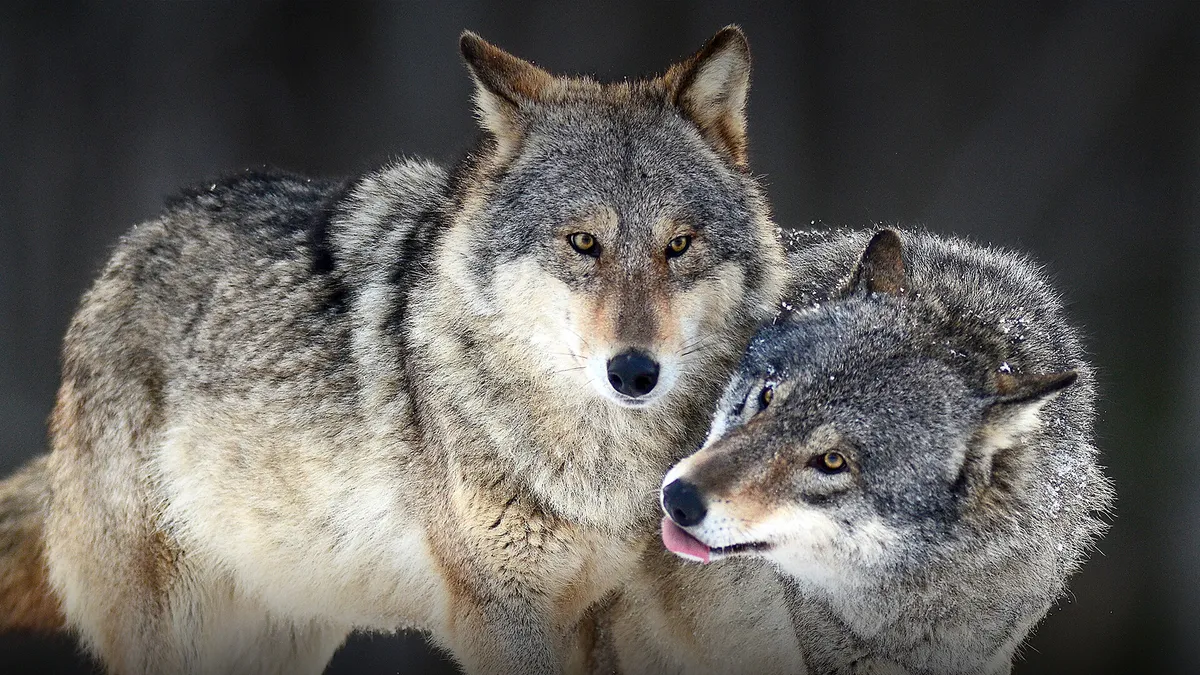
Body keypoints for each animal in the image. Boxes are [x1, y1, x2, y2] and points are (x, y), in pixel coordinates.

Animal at [0, 27, 800, 675]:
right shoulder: (502, 613)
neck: (601, 467)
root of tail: (126, 253)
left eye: (679, 245)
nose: (634, 372)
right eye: (582, 242)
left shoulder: (618, 617)